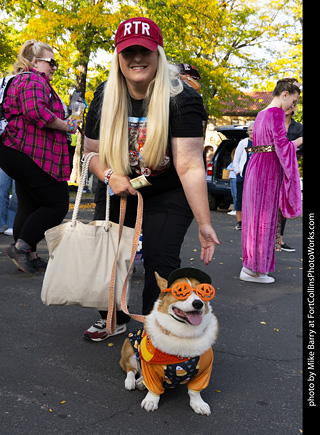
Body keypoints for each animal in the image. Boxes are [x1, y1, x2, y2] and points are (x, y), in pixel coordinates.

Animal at [119, 270, 219, 416]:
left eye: (203, 291)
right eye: (180, 291)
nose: (198, 303)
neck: (182, 334)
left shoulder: (203, 371)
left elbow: (195, 392)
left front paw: (199, 404)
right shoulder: (150, 368)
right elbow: (153, 388)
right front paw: (151, 401)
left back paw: (141, 382)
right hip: (129, 350)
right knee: (131, 369)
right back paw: (131, 382)